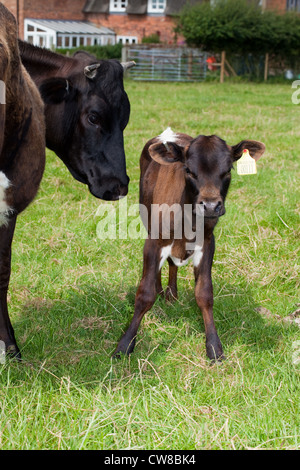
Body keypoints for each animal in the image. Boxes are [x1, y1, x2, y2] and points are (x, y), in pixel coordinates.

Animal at [115, 129, 264, 360]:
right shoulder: (153, 241)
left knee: (172, 265)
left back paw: (171, 294)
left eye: (228, 170)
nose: (210, 206)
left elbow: (204, 293)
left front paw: (214, 346)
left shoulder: (208, 242)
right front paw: (125, 344)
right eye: (189, 170)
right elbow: (144, 293)